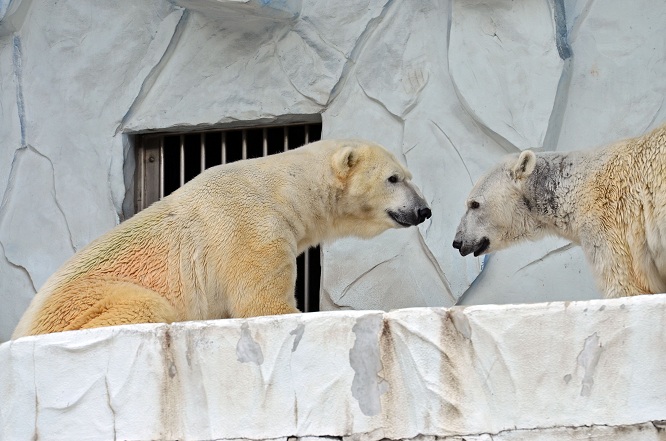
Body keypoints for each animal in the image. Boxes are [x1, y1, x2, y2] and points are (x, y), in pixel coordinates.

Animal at [15, 139, 434, 336]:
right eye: (394, 178)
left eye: (409, 175)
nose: (423, 210)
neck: (284, 190)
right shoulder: (252, 229)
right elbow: (262, 303)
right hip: (88, 301)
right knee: (146, 306)